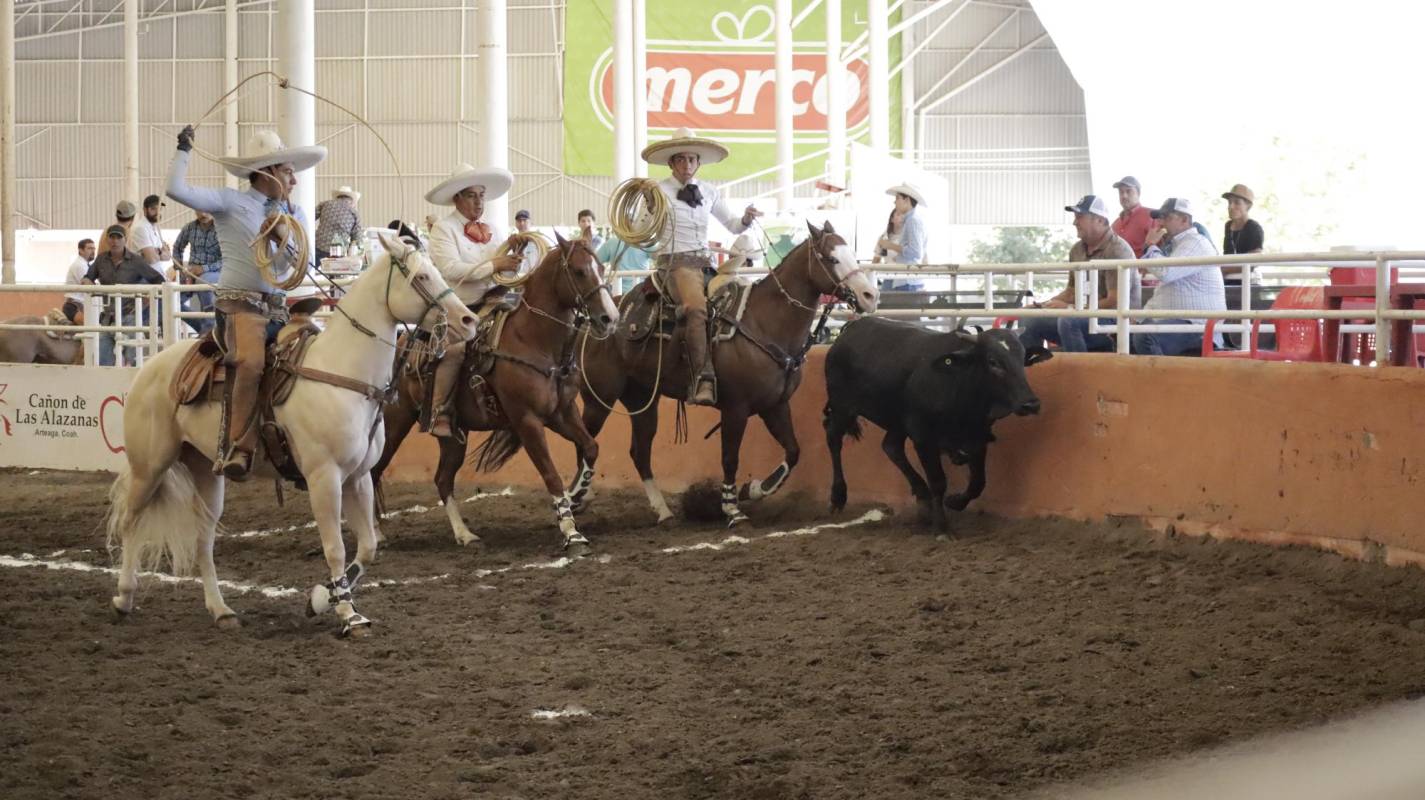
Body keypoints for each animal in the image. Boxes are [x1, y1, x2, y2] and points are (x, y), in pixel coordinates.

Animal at [106, 232, 473, 636]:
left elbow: (367, 547)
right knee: (131, 523)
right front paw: (348, 614)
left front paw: (321, 599)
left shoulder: (358, 478)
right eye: (421, 277)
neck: (341, 372)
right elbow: (336, 548)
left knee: (203, 540)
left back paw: (221, 610)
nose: (468, 320)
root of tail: (149, 367)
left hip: (206, 471)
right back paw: (123, 598)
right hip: (150, 466)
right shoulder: (323, 478)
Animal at [370, 233, 615, 553]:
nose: (609, 318)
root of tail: (400, 342)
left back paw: (464, 534)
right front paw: (571, 533)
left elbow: (591, 447)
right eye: (579, 271)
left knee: (442, 479)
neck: (533, 340)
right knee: (373, 471)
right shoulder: (527, 420)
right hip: (394, 421)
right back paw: (375, 534)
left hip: (453, 435)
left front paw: (577, 497)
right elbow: (550, 474)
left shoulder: (562, 412)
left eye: (600, 267)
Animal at [570, 221, 877, 527]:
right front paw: (732, 508)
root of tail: (594, 323)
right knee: (585, 445)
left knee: (639, 452)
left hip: (642, 399)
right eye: (832, 259)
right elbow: (730, 458)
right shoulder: (735, 409)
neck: (763, 321)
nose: (869, 296)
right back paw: (576, 499)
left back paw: (662, 510)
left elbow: (793, 451)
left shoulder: (775, 405)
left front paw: (753, 489)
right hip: (599, 400)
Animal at [826, 316, 1048, 530]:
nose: (1031, 404)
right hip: (841, 407)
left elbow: (978, 482)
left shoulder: (977, 437)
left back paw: (923, 499)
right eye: (993, 362)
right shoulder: (924, 439)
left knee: (891, 447)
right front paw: (942, 527)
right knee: (834, 440)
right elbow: (938, 482)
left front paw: (956, 502)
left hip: (897, 423)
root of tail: (850, 328)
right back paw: (838, 496)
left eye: (1023, 360)